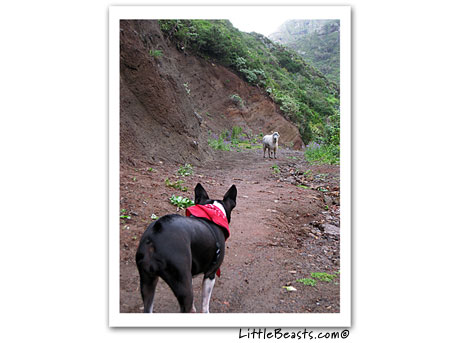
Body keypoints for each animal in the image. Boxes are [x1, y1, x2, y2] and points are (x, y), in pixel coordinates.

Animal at [135, 184, 236, 314]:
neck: (212, 212)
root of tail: (153, 237)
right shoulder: (210, 274)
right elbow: (205, 304)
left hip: (147, 282)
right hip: (182, 283)